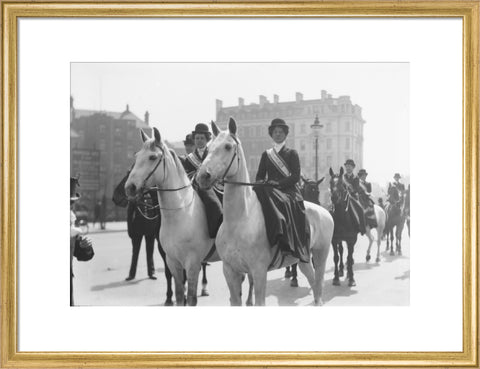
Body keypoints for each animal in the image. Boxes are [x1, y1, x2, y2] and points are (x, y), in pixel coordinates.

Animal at [125, 126, 219, 304]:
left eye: (152, 157)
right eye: (136, 156)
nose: (130, 187)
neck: (180, 214)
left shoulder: (192, 263)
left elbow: (191, 298)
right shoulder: (172, 261)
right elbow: (180, 294)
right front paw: (171, 298)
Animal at [196, 118, 334, 304]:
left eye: (228, 146)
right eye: (208, 147)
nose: (203, 176)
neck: (238, 221)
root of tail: (324, 211)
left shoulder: (259, 271)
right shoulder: (230, 270)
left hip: (320, 255)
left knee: (318, 286)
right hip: (303, 258)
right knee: (313, 282)